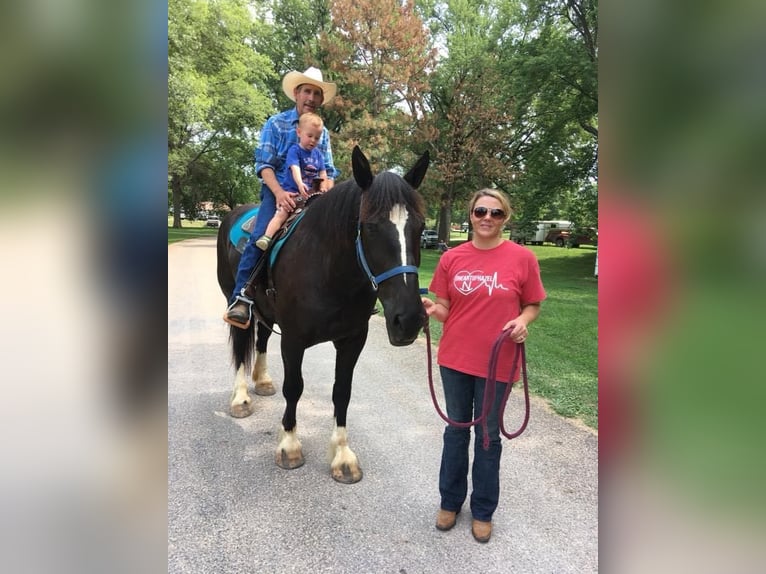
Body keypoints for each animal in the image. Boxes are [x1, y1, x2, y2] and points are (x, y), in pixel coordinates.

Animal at [218, 146, 432, 484]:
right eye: (370, 226)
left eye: (420, 227)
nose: (409, 320)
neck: (328, 267)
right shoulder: (293, 340)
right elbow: (294, 387)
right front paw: (289, 446)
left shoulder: (352, 340)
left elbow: (342, 392)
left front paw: (342, 457)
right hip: (234, 299)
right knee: (241, 344)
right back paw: (241, 398)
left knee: (261, 337)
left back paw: (262, 380)